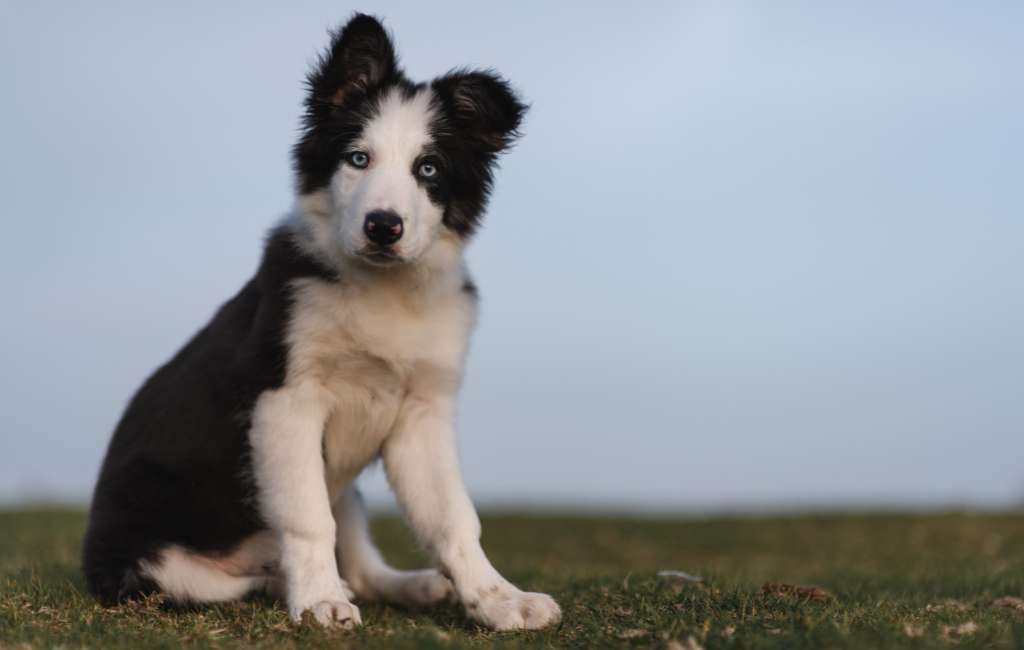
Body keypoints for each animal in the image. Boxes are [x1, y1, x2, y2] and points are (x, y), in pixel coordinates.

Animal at [79, 12, 561, 630]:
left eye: (428, 169)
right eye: (358, 159)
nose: (383, 226)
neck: (384, 291)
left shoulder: (423, 410)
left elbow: (455, 519)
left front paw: (500, 600)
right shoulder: (284, 398)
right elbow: (309, 519)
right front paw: (319, 602)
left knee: (359, 557)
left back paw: (408, 586)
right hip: (153, 562)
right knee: (231, 579)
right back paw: (300, 584)